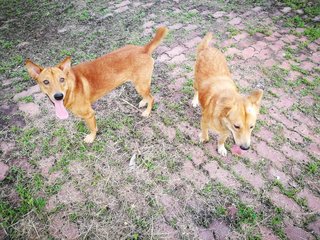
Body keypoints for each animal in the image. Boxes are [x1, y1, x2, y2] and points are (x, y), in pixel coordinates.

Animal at [25, 26, 168, 142]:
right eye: (46, 82)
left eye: (61, 79)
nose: (58, 96)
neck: (71, 87)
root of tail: (143, 49)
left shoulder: (89, 114)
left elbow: (92, 128)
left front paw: (91, 137)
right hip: (140, 84)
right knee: (147, 95)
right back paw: (143, 102)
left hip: (141, 85)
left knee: (151, 98)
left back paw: (147, 112)